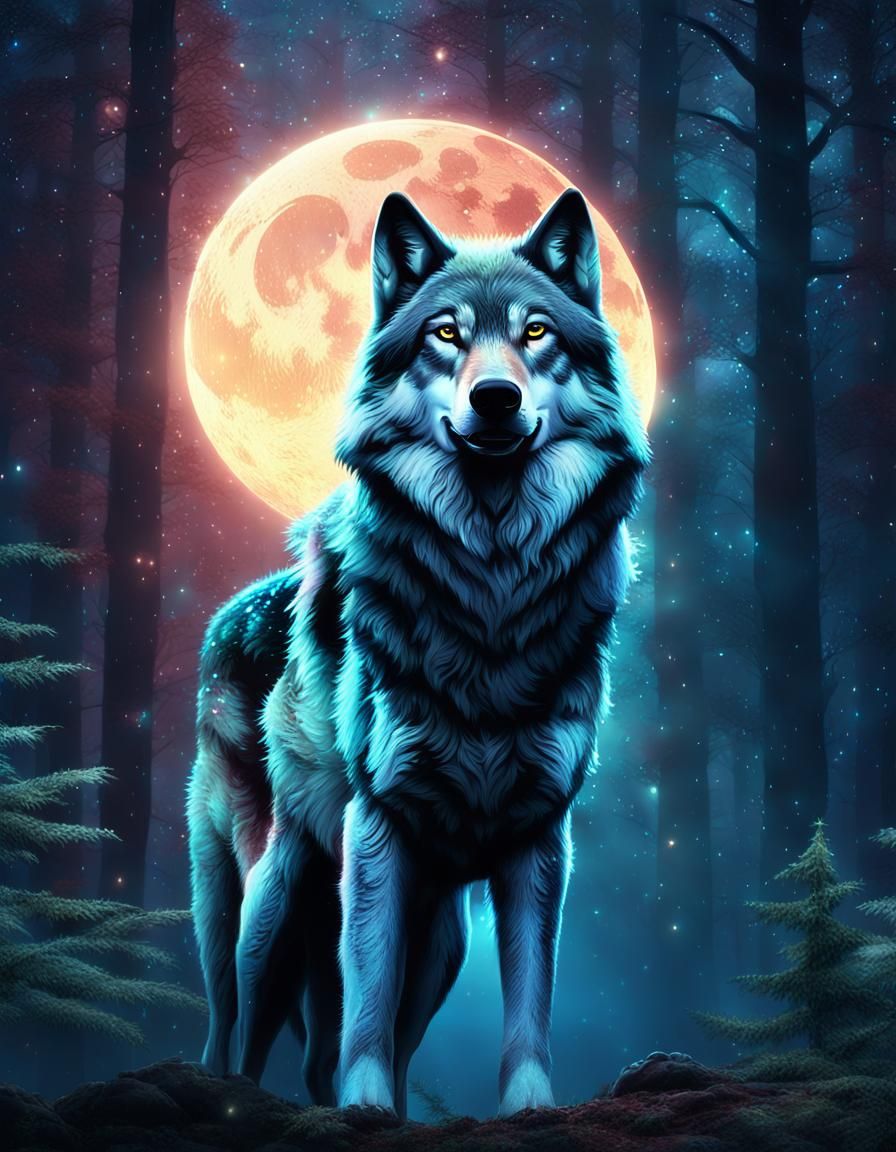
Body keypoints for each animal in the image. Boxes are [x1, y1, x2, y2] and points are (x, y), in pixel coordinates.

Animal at [187, 186, 649, 1117]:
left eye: (536, 332)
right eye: (445, 333)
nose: (497, 396)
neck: (490, 596)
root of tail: (225, 617)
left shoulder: (540, 837)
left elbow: (529, 1003)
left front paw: (527, 1110)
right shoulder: (379, 826)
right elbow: (365, 1007)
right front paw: (365, 1109)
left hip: (441, 944)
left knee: (335, 1051)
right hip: (269, 912)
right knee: (237, 1033)